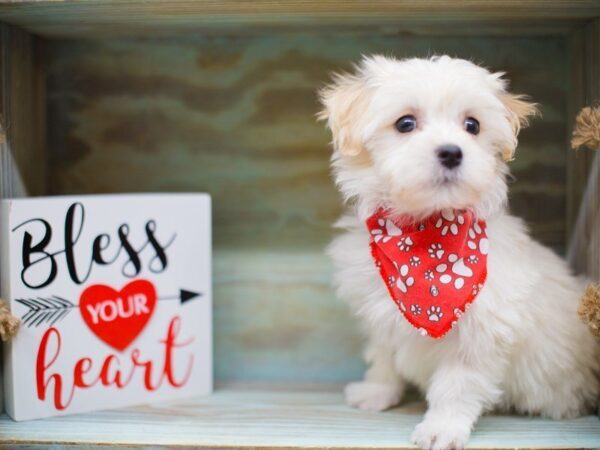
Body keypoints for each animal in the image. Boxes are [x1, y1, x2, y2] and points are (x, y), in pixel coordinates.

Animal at [318, 55, 600, 450]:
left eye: (472, 125)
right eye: (405, 123)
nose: (452, 152)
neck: (427, 237)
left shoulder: (480, 332)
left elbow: (456, 385)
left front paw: (442, 427)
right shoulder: (380, 306)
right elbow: (384, 354)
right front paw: (377, 391)